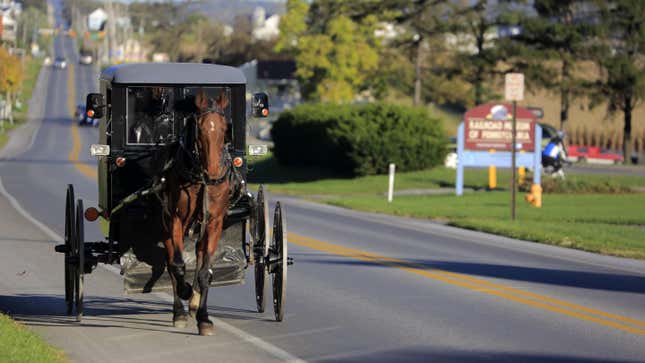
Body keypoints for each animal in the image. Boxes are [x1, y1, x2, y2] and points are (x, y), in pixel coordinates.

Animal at [162, 89, 230, 336]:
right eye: (199, 128)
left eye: (225, 128)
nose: (213, 172)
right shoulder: (175, 218)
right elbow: (178, 266)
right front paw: (185, 292)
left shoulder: (214, 222)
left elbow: (204, 272)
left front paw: (204, 317)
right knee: (171, 264)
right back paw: (179, 311)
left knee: (200, 257)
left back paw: (193, 304)